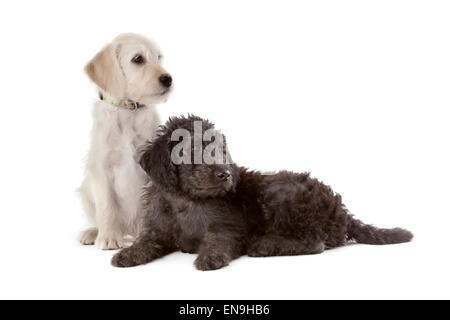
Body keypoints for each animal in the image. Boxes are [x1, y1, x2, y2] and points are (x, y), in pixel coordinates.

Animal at [78, 33, 171, 249]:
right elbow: (107, 206)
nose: (168, 79)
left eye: (159, 57)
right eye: (138, 59)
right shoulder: (102, 168)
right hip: (86, 190)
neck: (129, 111)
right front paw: (109, 238)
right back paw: (93, 233)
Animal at [111, 115, 412, 270]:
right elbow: (146, 242)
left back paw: (264, 245)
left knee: (315, 242)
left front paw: (210, 257)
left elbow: (219, 241)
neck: (185, 200)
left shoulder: (229, 227)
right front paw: (128, 254)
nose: (225, 174)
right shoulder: (156, 230)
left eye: (221, 151)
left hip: (281, 195)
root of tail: (342, 212)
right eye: (193, 150)